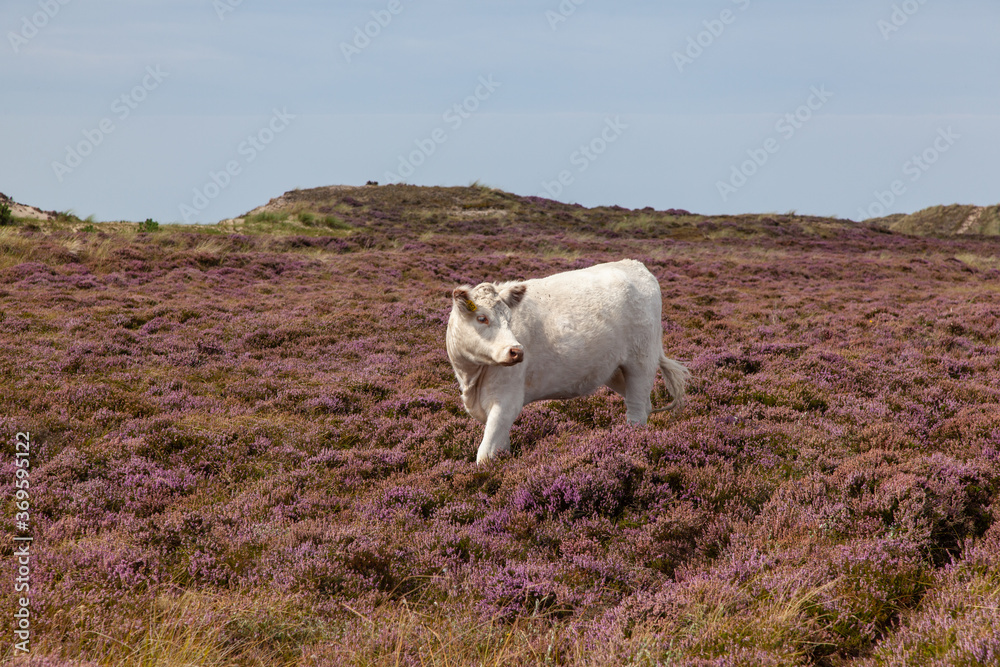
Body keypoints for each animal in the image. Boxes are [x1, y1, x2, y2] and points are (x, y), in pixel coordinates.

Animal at [446, 260, 688, 464]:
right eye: (481, 318)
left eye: (509, 318)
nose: (516, 351)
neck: (471, 378)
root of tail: (635, 265)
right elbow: (500, 446)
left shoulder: (506, 400)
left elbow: (485, 454)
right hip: (615, 371)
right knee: (644, 404)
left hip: (641, 363)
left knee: (636, 411)